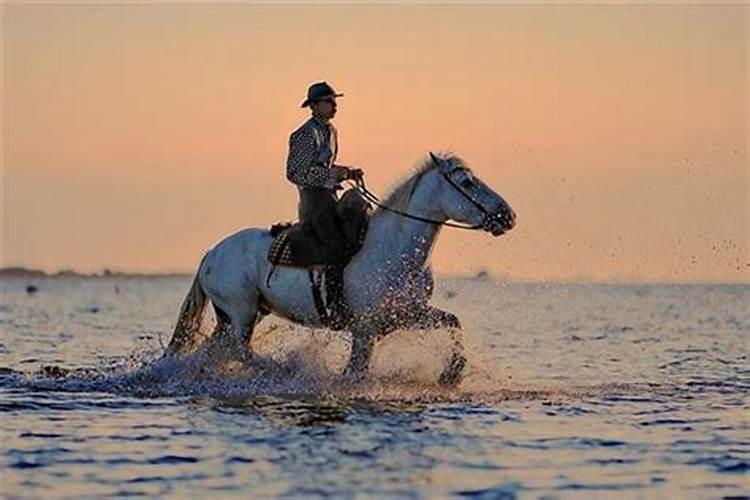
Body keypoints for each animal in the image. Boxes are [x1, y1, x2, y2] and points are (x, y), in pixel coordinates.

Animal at [164, 152, 516, 386]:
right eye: (467, 181)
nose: (507, 215)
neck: (394, 250)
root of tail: (211, 254)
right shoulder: (365, 329)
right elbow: (356, 372)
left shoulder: (404, 314)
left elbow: (453, 321)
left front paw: (451, 373)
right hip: (241, 311)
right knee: (241, 352)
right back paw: (285, 369)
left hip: (240, 315)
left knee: (217, 350)